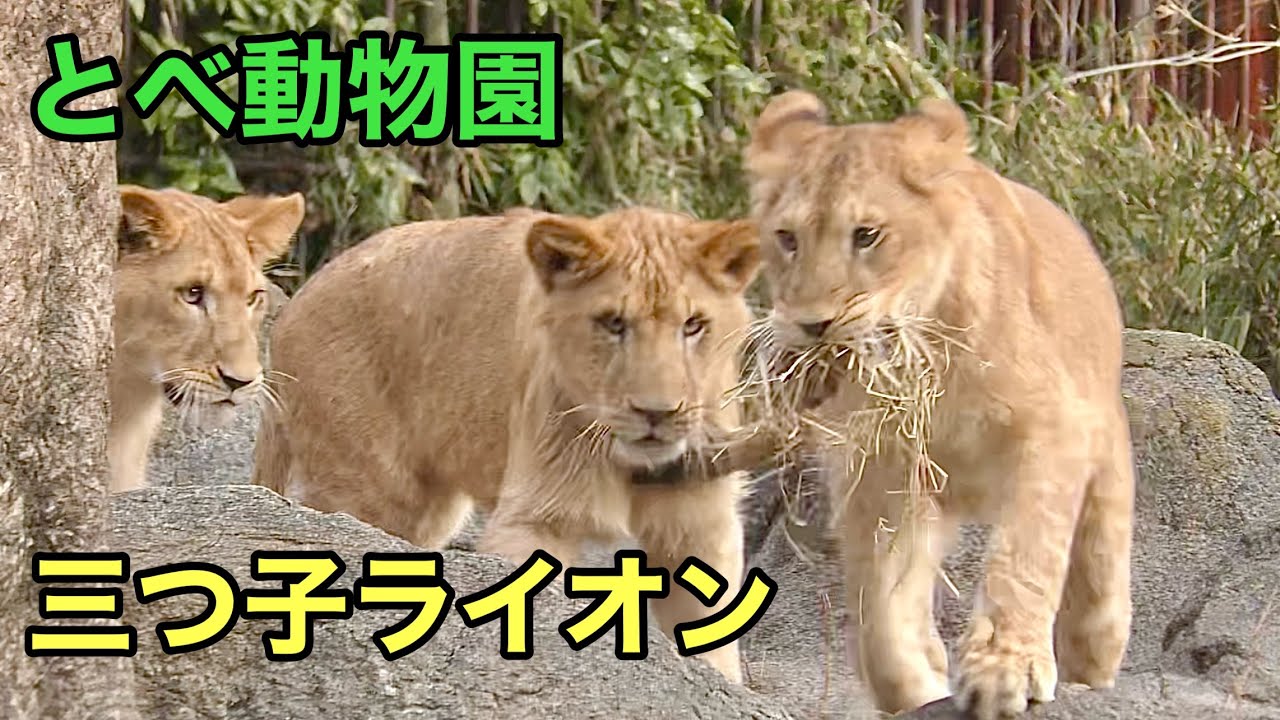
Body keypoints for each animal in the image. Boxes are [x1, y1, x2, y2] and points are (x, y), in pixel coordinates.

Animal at [251, 207, 766, 682]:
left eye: (694, 325)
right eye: (613, 323)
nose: (657, 413)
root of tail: (293, 304)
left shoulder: (699, 524)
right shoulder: (537, 517)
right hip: (370, 488)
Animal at [741, 91, 1135, 719]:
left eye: (867, 235)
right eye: (787, 238)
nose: (812, 325)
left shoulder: (1052, 432)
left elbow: (1025, 555)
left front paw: (1006, 669)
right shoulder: (883, 470)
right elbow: (880, 607)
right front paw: (916, 682)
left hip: (1105, 451)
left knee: (1099, 572)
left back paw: (1093, 657)